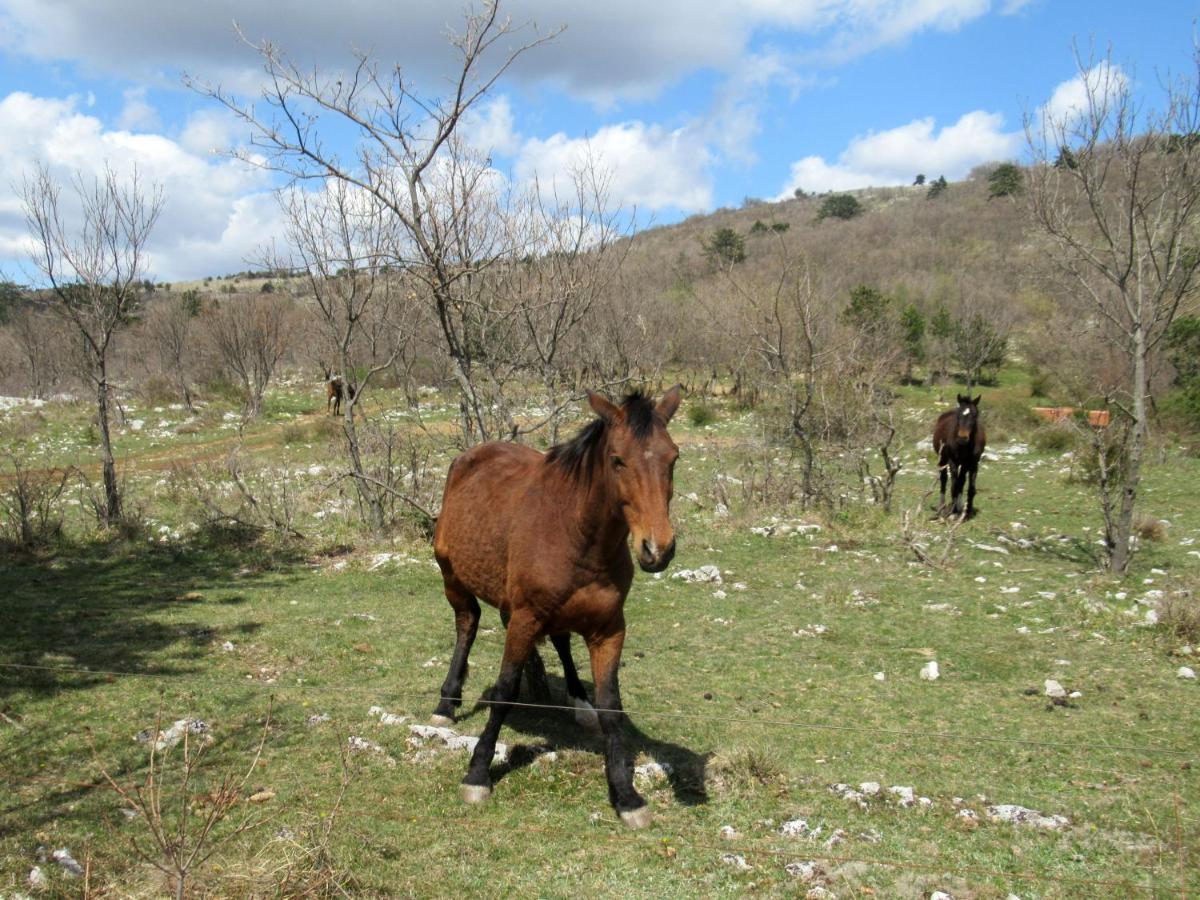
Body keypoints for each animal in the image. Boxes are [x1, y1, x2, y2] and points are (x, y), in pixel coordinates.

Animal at [432, 384, 681, 830]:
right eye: (618, 459)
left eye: (673, 457)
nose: (658, 549)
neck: (576, 532)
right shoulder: (525, 617)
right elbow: (505, 690)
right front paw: (478, 773)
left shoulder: (609, 630)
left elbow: (611, 706)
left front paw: (626, 795)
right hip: (453, 579)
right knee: (467, 624)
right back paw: (447, 701)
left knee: (561, 640)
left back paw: (575, 700)